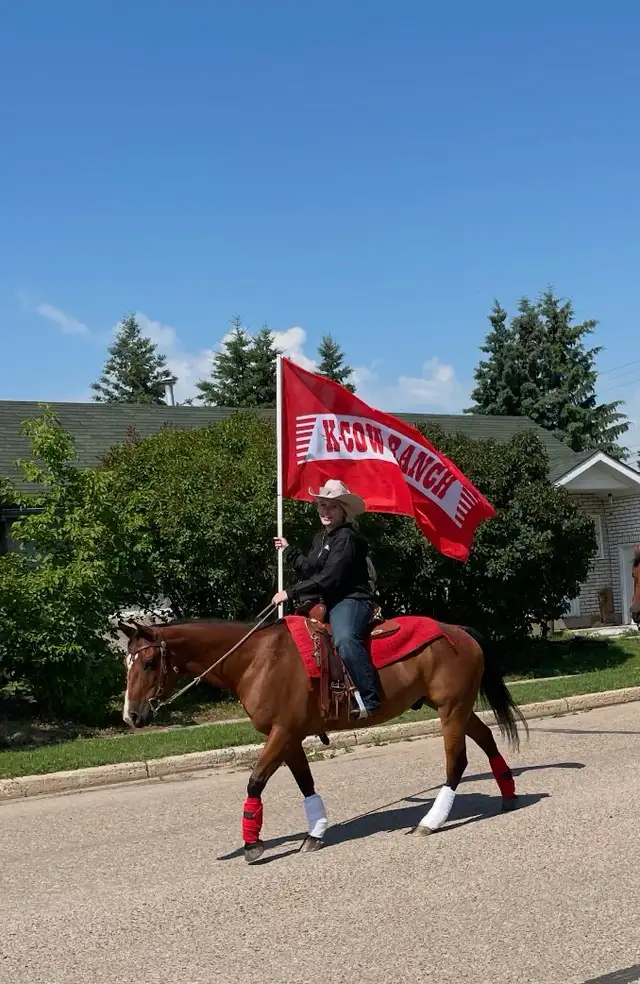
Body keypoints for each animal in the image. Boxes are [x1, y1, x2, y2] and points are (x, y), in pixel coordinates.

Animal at [119, 613, 528, 863]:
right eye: (127, 663)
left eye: (149, 663)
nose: (131, 716)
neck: (257, 659)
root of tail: (459, 631)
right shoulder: (289, 736)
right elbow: (305, 783)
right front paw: (315, 833)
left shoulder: (282, 732)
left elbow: (255, 780)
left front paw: (252, 844)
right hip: (457, 708)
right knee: (487, 739)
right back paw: (508, 796)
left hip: (450, 709)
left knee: (456, 761)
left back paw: (431, 821)